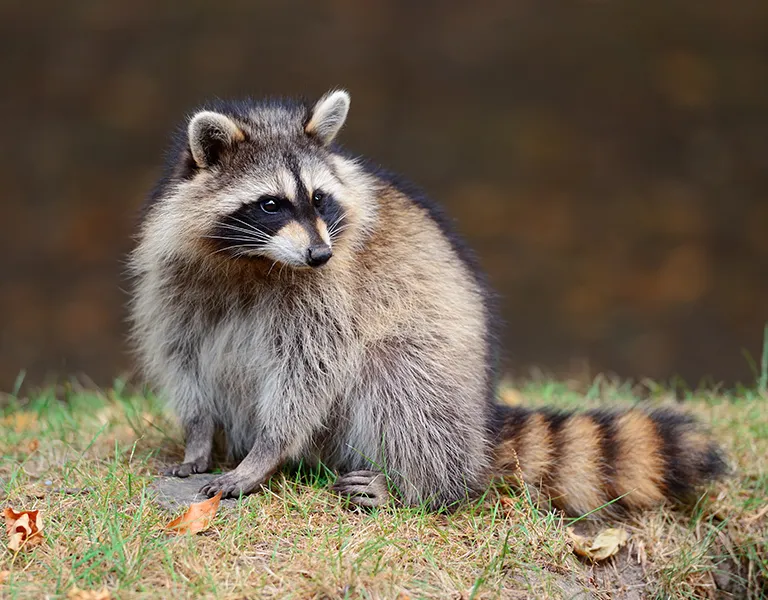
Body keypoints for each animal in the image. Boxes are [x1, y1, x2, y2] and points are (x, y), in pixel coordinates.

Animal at [129, 89, 726, 515]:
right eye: (271, 203)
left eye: (319, 198)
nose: (320, 253)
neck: (255, 260)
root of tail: (482, 418)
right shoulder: (174, 276)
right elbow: (181, 354)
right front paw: (198, 434)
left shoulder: (330, 291)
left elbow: (310, 370)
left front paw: (266, 453)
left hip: (439, 370)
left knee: (399, 379)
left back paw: (419, 486)